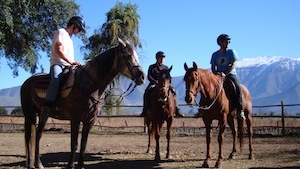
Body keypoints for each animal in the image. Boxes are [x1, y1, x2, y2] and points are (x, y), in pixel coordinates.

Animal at [20, 38, 145, 169]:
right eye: (127, 55)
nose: (142, 76)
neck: (90, 84)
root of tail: (26, 83)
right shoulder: (75, 118)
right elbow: (74, 143)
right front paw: (70, 165)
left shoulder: (89, 120)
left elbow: (84, 144)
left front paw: (80, 165)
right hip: (30, 114)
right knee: (32, 136)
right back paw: (35, 164)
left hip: (39, 114)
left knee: (35, 135)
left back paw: (34, 163)